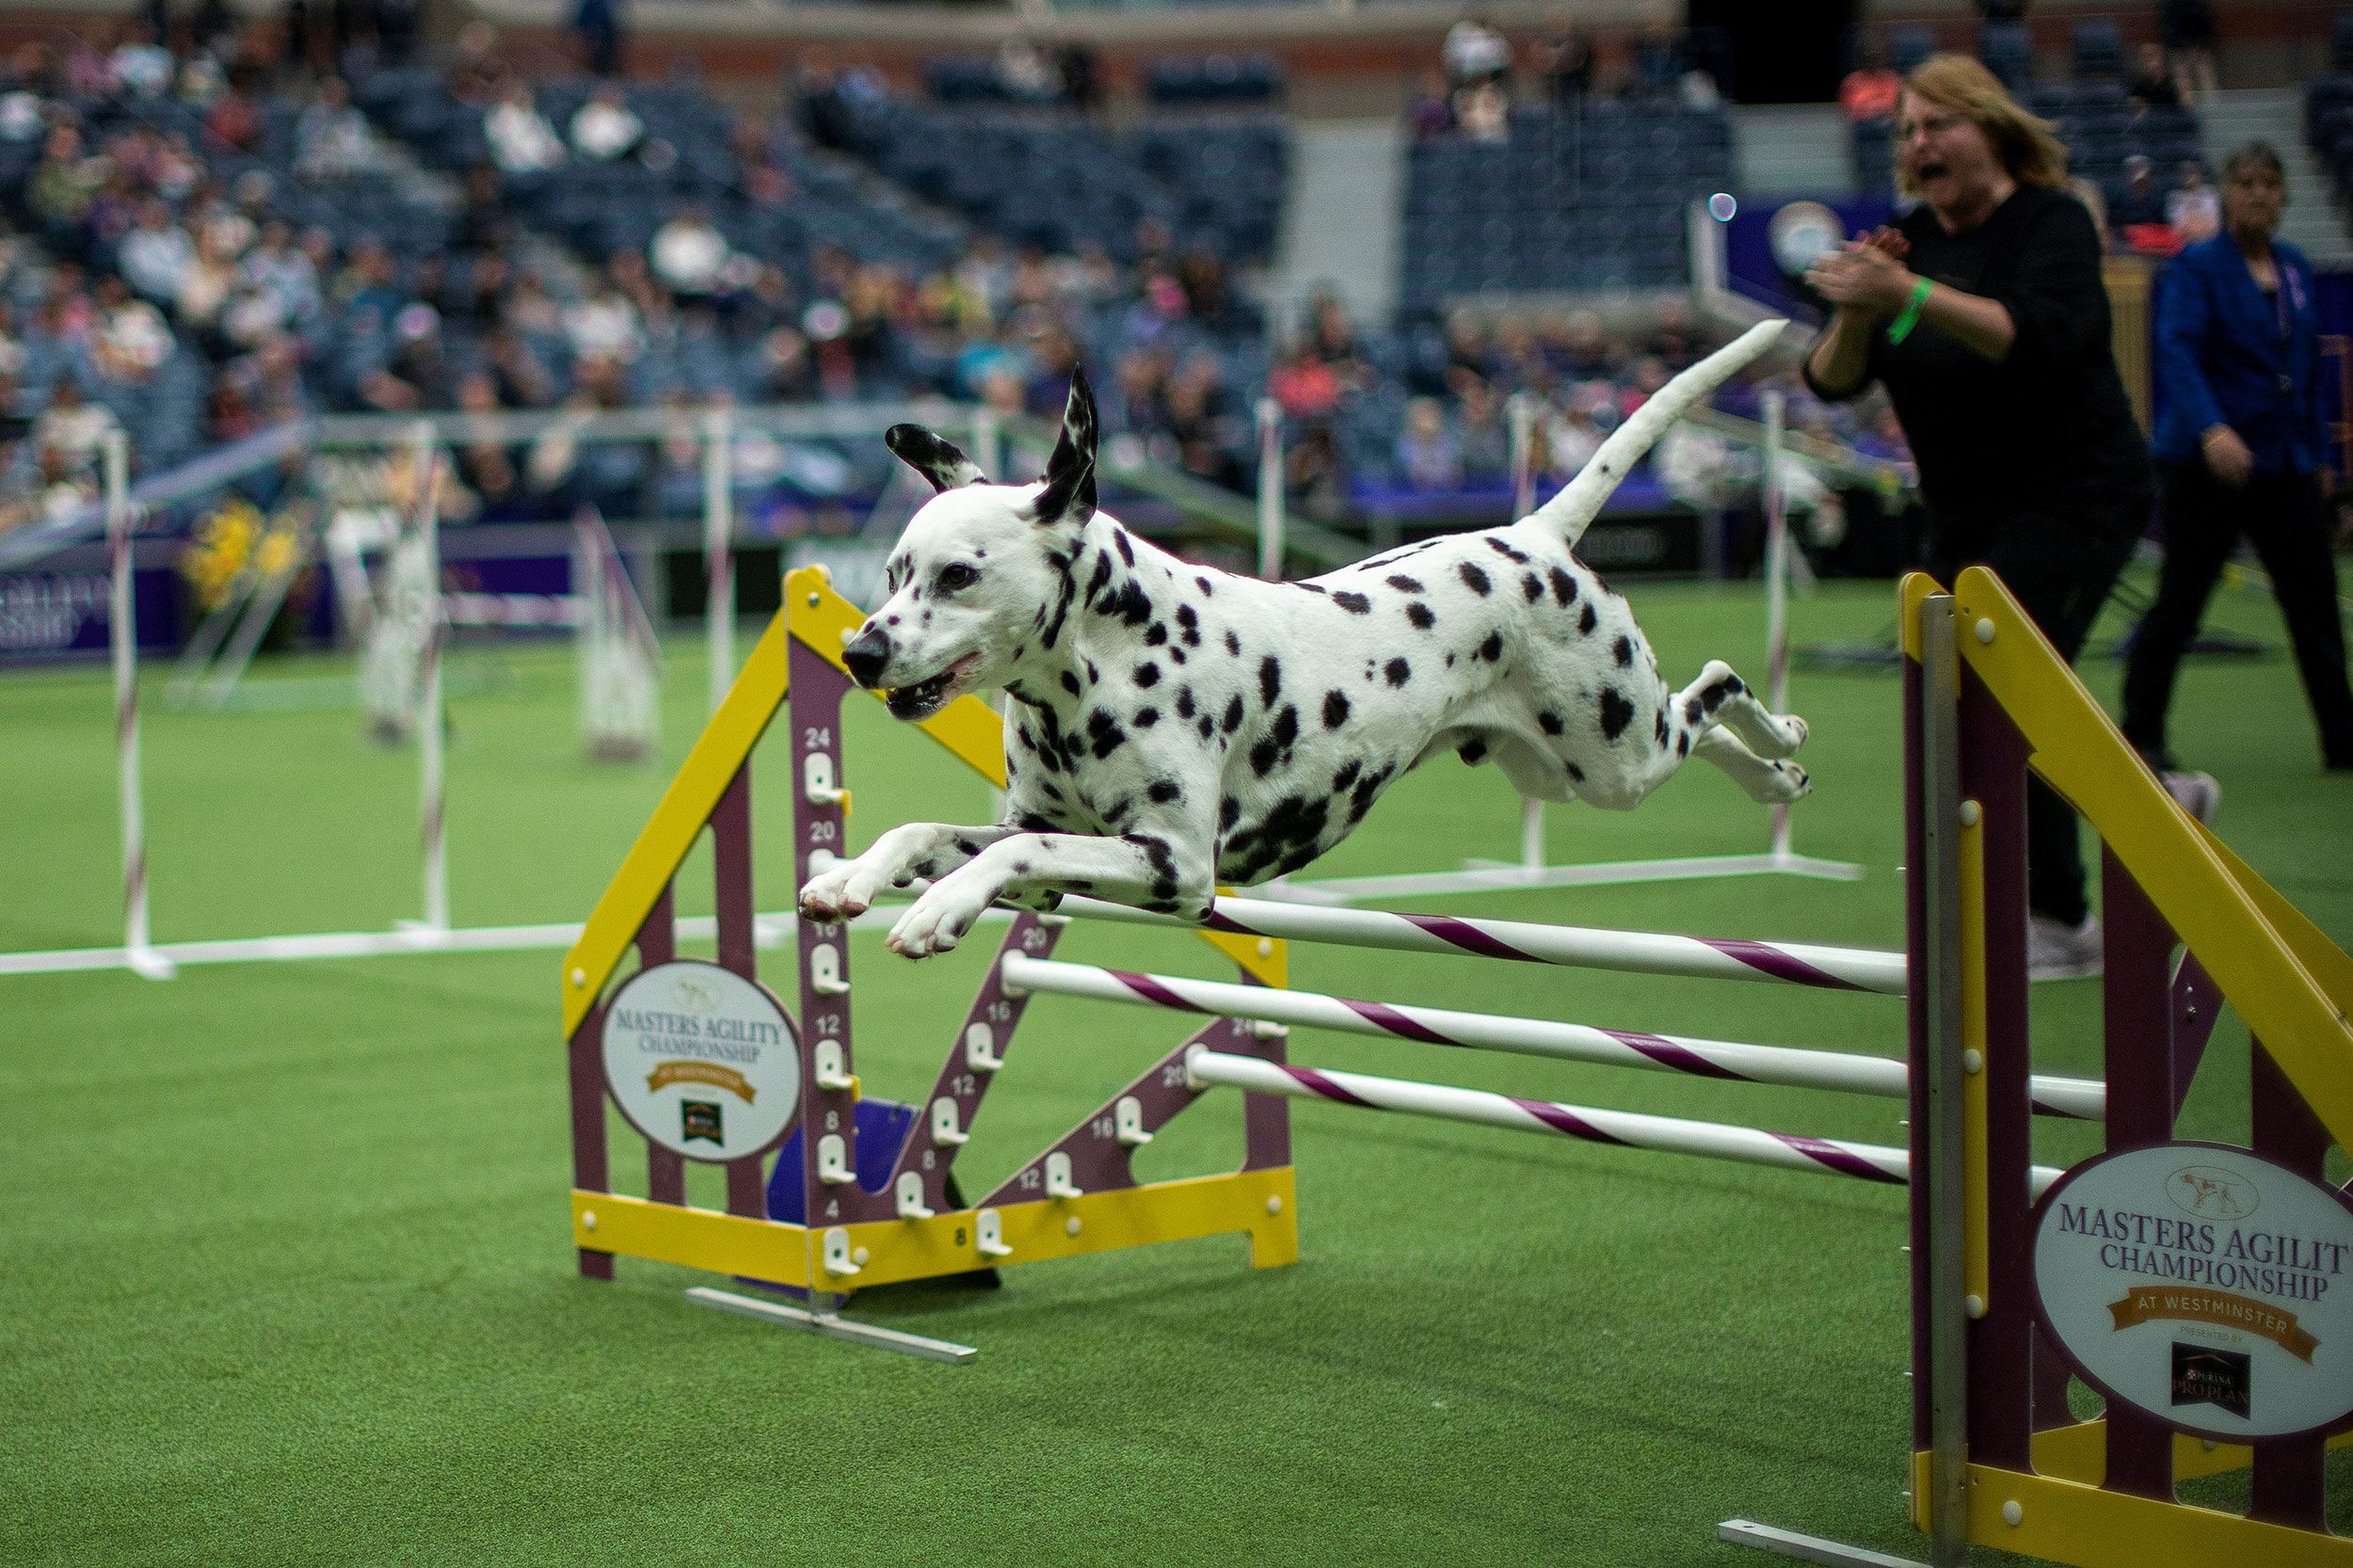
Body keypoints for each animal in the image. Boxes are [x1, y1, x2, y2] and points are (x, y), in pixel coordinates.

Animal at [800, 320, 1807, 951]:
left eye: (958, 576)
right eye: (892, 575)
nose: (858, 654)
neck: (1106, 662)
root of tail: (1535, 536)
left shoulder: (1174, 866)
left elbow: (1006, 852)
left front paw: (932, 914)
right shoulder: (1055, 848)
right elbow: (930, 831)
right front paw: (853, 876)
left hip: (1617, 755)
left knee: (1717, 687)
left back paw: (1783, 756)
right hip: (1554, 771)